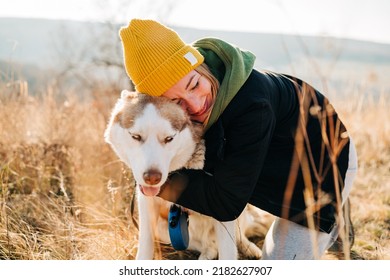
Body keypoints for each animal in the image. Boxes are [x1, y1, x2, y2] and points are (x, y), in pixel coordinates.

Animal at [104, 91, 272, 260]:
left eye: (169, 138)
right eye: (136, 136)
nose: (152, 177)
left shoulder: (223, 207)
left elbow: (228, 251)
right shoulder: (147, 206)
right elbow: (145, 246)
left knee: (238, 235)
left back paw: (250, 249)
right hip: (164, 230)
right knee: (210, 246)